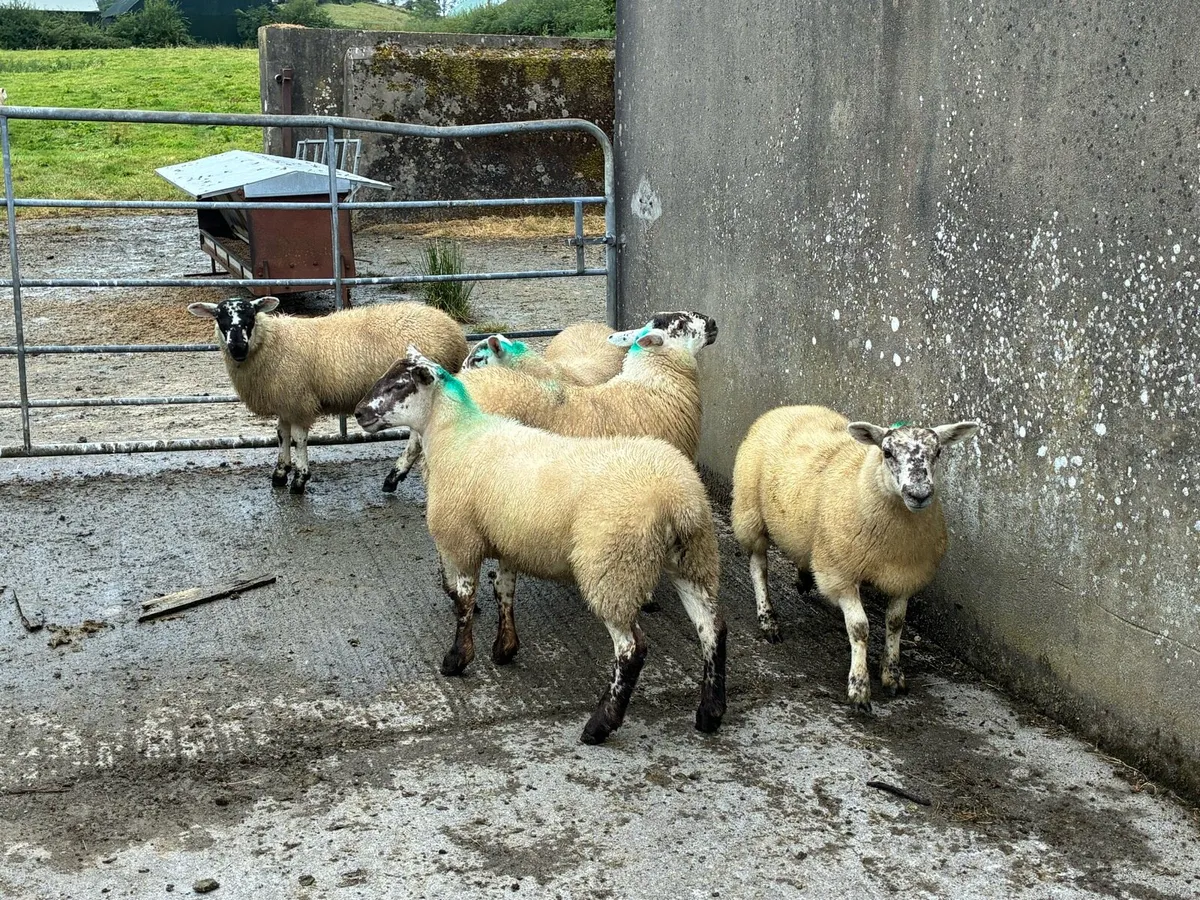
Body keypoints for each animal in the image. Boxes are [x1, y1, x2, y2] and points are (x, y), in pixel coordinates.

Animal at [187, 296, 467, 493]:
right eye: (220, 319)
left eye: (250, 317)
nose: (237, 347)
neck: (272, 344)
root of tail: (451, 327)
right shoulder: (285, 401)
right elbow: (281, 434)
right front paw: (280, 473)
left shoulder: (299, 401)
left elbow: (299, 439)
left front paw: (299, 479)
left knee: (416, 440)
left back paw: (393, 477)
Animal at [354, 347, 728, 745]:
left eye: (399, 384)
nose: (359, 413)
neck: (456, 433)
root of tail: (677, 500)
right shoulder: (507, 539)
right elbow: (504, 591)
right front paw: (504, 648)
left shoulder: (461, 539)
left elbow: (466, 601)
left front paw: (457, 659)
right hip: (692, 560)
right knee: (712, 628)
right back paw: (710, 712)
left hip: (613, 568)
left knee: (631, 650)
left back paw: (600, 724)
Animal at [730, 406, 979, 712]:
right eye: (887, 452)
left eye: (939, 452)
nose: (919, 494)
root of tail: (788, 408)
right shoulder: (841, 574)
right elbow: (860, 628)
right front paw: (859, 687)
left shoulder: (905, 576)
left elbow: (895, 623)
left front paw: (892, 674)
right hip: (750, 512)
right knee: (759, 567)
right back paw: (768, 620)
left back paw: (803, 578)